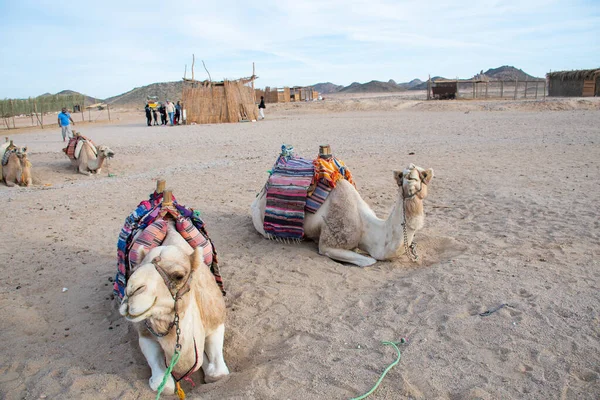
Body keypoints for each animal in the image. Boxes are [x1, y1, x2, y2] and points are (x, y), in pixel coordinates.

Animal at [119, 223, 230, 396]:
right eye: (134, 270)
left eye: (178, 276)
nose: (131, 292)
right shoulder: (144, 334)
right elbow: (164, 386)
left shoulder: (216, 320)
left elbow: (217, 374)